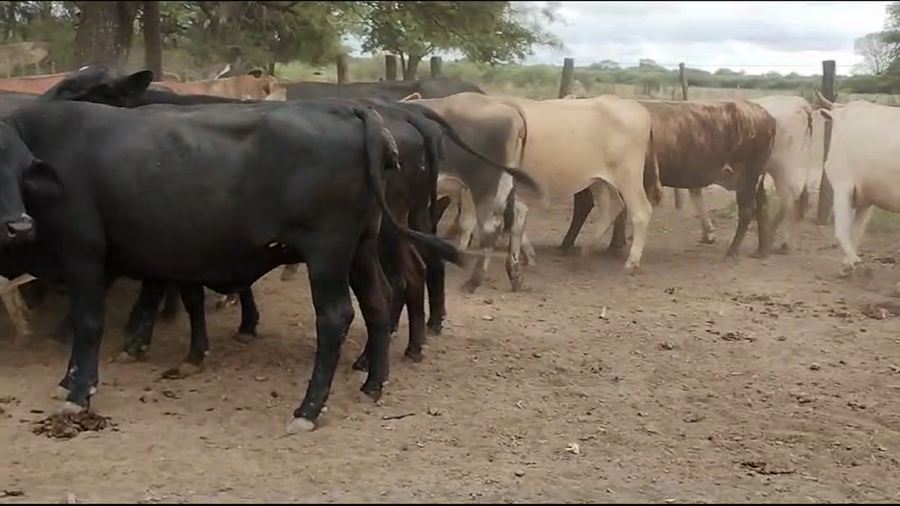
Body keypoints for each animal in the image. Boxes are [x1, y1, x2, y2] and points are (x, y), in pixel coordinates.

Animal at [0, 94, 474, 432]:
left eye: (17, 171)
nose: (17, 226)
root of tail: (352, 109)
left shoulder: (84, 254)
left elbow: (89, 323)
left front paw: (80, 388)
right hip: (361, 248)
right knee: (378, 302)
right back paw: (372, 384)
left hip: (329, 253)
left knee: (338, 316)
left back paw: (309, 408)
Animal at [812, 90, 900, 277]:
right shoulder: (866, 198)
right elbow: (855, 233)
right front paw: (846, 265)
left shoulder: (842, 186)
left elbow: (842, 232)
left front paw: (855, 264)